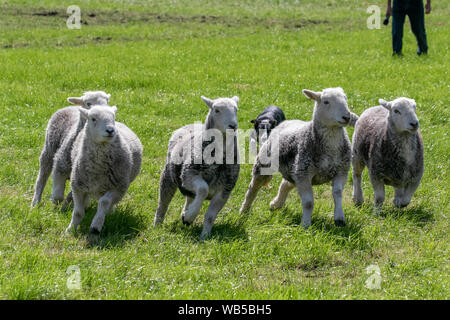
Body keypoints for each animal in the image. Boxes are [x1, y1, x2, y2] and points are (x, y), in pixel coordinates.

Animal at [65, 106, 142, 234]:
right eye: (93, 119)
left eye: (113, 117)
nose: (110, 130)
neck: (98, 169)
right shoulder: (77, 187)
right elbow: (78, 212)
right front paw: (70, 230)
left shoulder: (118, 187)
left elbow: (104, 202)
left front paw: (96, 226)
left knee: (108, 203)